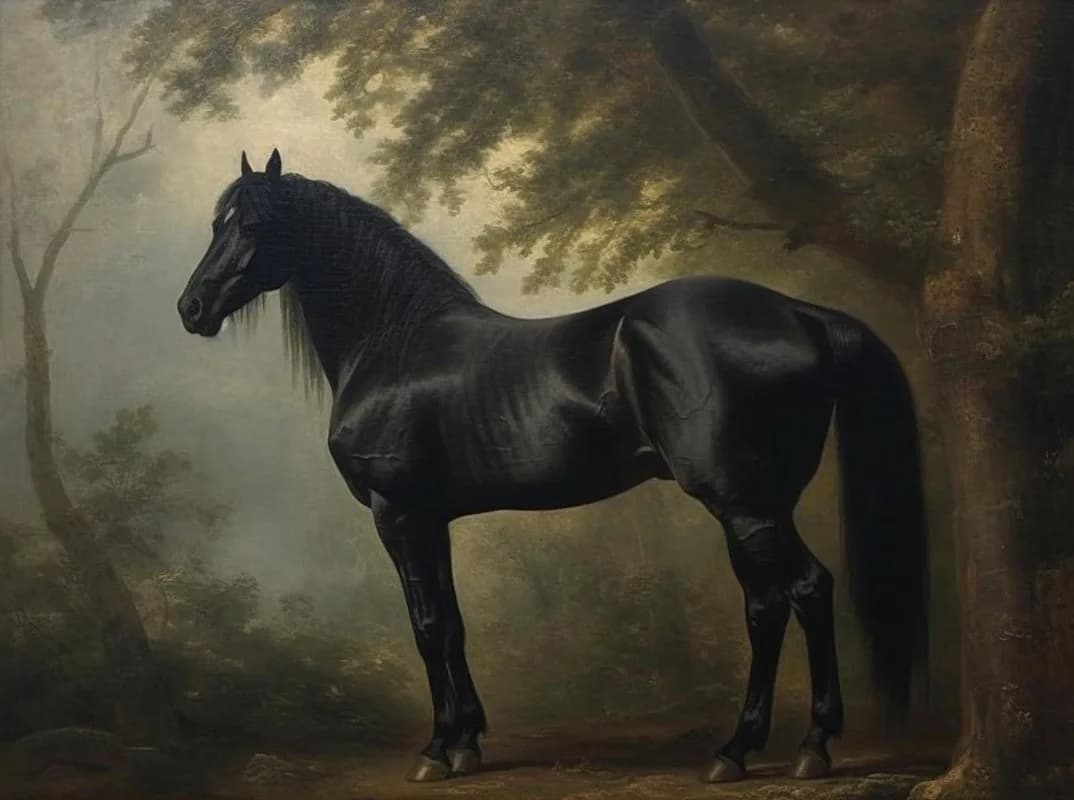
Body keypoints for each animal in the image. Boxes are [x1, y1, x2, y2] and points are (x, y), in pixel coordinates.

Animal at [178, 150, 928, 784]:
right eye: (217, 223)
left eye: (253, 223)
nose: (192, 308)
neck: (395, 343)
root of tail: (802, 314)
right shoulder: (433, 519)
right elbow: (453, 621)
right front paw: (468, 742)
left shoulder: (398, 515)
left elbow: (425, 625)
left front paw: (434, 750)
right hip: (760, 503)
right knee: (778, 602)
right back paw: (757, 749)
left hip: (741, 501)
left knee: (799, 592)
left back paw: (789, 750)